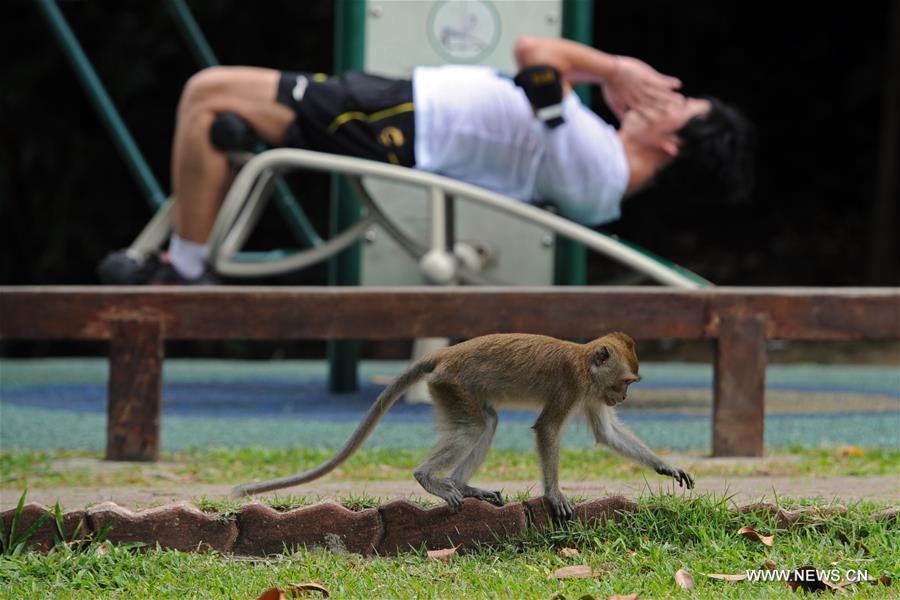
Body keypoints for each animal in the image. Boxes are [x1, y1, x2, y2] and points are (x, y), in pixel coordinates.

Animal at [236, 330, 692, 516]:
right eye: (627, 382)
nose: (624, 397)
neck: (584, 362)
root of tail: (445, 355)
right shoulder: (570, 385)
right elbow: (547, 430)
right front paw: (554, 494)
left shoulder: (591, 393)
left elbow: (606, 432)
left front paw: (667, 466)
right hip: (451, 384)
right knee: (476, 427)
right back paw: (430, 479)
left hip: (449, 388)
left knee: (486, 423)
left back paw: (463, 485)